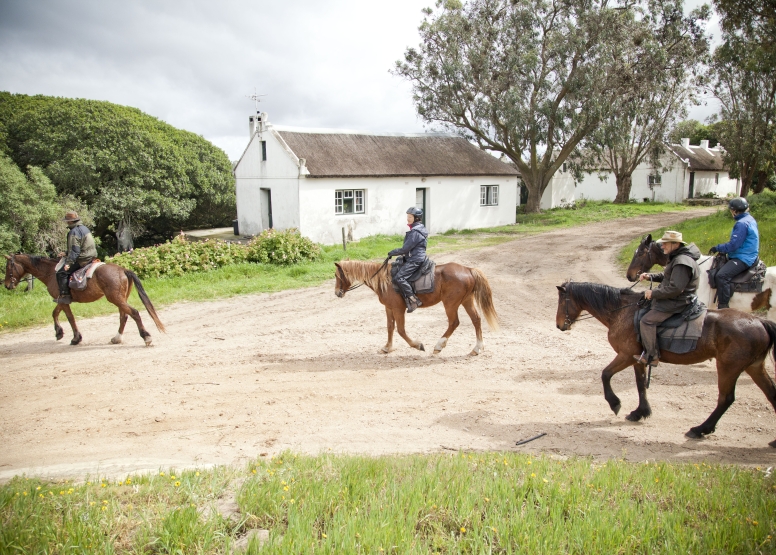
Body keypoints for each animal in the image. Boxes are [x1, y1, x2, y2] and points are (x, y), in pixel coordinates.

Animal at [3, 254, 164, 346]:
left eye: (8, 267)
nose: (6, 285)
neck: (51, 272)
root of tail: (123, 270)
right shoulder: (62, 300)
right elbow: (56, 314)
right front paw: (61, 333)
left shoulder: (62, 300)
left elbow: (68, 317)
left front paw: (72, 337)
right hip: (120, 299)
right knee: (124, 316)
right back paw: (117, 338)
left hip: (116, 299)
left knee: (134, 313)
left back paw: (146, 337)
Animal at [334, 260, 498, 356]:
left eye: (336, 276)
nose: (337, 293)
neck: (385, 281)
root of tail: (469, 269)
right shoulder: (389, 308)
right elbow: (390, 327)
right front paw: (387, 347)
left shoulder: (398, 309)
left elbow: (400, 330)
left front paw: (418, 345)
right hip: (466, 301)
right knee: (476, 320)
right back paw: (476, 348)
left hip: (450, 304)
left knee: (454, 322)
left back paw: (439, 346)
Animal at [556, 282, 776, 448]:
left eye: (561, 301)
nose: (559, 325)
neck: (623, 312)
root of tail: (760, 322)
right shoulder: (638, 358)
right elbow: (640, 385)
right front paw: (640, 412)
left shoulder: (625, 355)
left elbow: (605, 374)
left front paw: (615, 403)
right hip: (754, 367)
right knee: (771, 394)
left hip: (728, 367)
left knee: (725, 398)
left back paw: (699, 429)